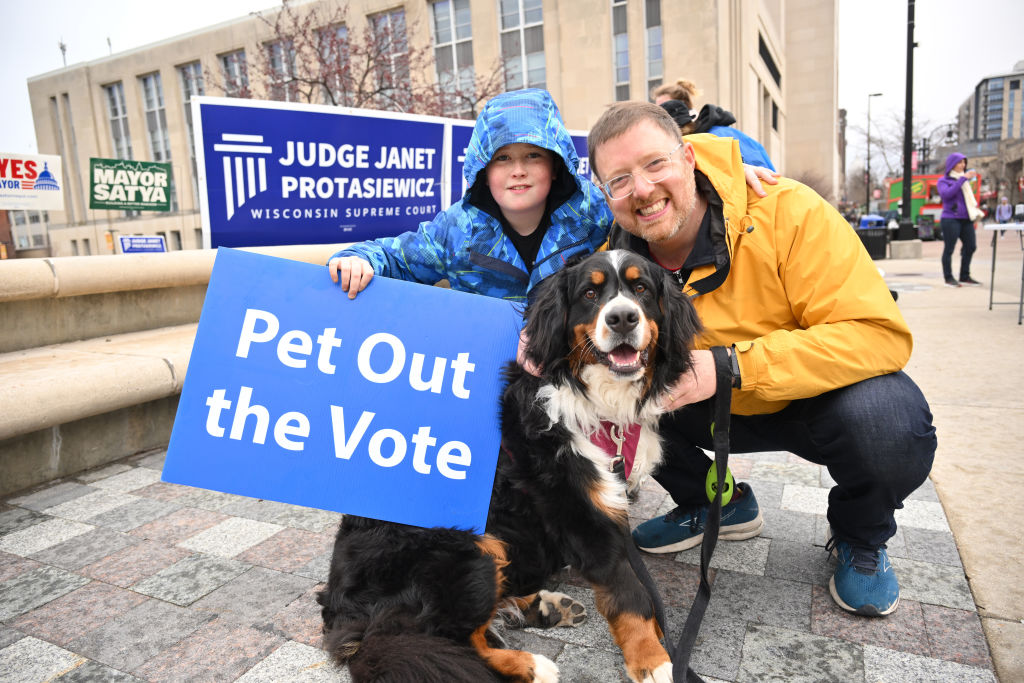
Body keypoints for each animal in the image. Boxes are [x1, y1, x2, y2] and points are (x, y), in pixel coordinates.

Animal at [319, 250, 704, 683]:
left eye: (641, 289)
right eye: (590, 293)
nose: (622, 317)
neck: (595, 400)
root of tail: (343, 612)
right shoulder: (585, 517)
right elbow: (630, 594)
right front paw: (654, 661)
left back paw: (543, 608)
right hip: (464, 547)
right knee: (443, 640)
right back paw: (530, 663)